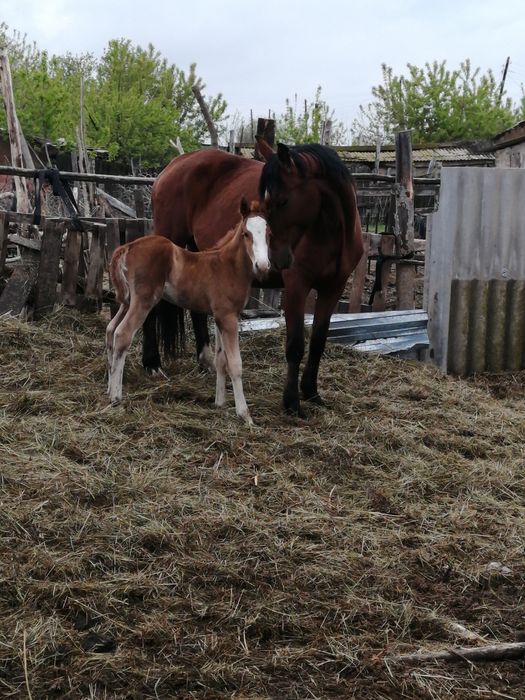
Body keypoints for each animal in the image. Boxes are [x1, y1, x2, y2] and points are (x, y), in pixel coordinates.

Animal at [106, 198, 271, 425]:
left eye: (268, 232)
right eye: (246, 233)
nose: (263, 266)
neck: (228, 266)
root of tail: (129, 246)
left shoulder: (219, 317)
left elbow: (221, 360)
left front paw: (219, 403)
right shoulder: (228, 317)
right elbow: (235, 363)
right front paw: (245, 415)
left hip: (127, 301)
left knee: (110, 330)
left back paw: (108, 388)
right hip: (143, 301)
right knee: (122, 334)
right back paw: (115, 397)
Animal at [148, 137, 364, 418]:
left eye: (282, 201)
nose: (278, 258)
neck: (331, 231)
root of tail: (174, 164)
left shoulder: (333, 289)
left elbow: (318, 341)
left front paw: (312, 392)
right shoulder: (296, 287)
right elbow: (295, 345)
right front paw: (292, 403)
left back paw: (206, 361)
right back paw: (152, 363)